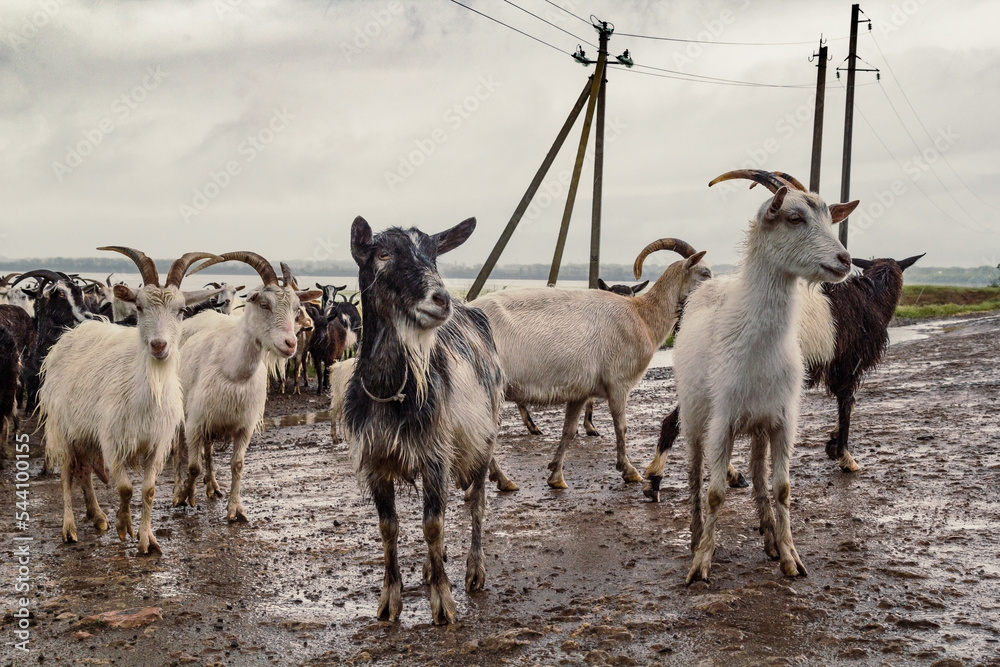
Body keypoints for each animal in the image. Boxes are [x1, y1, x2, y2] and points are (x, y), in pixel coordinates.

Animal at [39, 248, 220, 553]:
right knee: (66, 474)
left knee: (84, 472)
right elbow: (125, 488)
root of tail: (70, 335)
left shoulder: (156, 443)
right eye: (140, 307)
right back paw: (70, 529)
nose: (159, 345)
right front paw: (124, 526)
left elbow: (148, 490)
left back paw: (98, 516)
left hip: (85, 433)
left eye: (181, 310)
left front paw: (147, 540)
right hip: (63, 428)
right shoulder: (113, 440)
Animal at [172, 253, 321, 521]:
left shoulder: (243, 426)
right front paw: (186, 495)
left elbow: (237, 465)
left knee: (208, 452)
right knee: (179, 451)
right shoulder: (196, 422)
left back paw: (213, 486)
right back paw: (179, 491)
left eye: (296, 309)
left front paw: (235, 510)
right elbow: (193, 465)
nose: (290, 343)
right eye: (264, 304)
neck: (233, 372)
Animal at [344, 215, 503, 625]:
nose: (440, 300)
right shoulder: (376, 460)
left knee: (476, 503)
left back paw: (474, 572)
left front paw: (443, 603)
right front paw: (389, 601)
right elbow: (388, 528)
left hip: (484, 440)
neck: (390, 392)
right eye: (383, 254)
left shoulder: (435, 455)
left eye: (433, 256)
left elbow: (432, 525)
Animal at [475, 239, 709, 490]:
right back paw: (503, 479)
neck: (642, 315)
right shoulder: (618, 383)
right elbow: (621, 427)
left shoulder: (579, 391)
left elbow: (568, 431)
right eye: (706, 273)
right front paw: (629, 471)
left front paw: (556, 476)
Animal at [674, 169, 856, 584]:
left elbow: (782, 488)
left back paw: (770, 538)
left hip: (758, 424)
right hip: (694, 416)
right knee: (693, 471)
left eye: (829, 217)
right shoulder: (722, 420)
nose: (845, 259)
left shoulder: (783, 420)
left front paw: (791, 557)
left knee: (758, 475)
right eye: (794, 217)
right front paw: (702, 563)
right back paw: (695, 535)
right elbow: (715, 492)